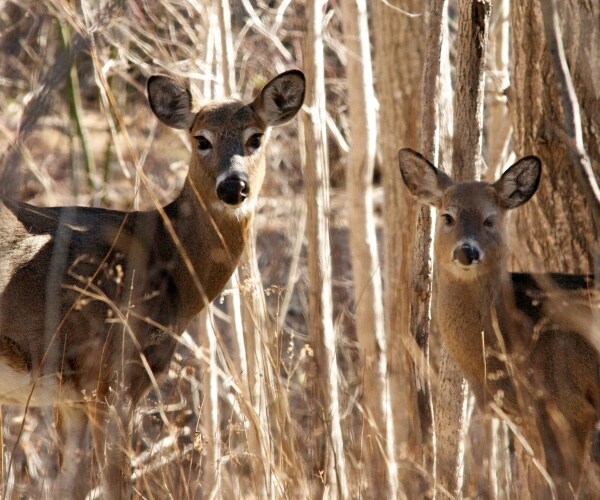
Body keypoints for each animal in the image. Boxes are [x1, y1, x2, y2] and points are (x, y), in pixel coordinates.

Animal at [0, 70, 308, 500]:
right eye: (201, 139)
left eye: (256, 138)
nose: (233, 186)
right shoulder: (113, 375)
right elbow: (116, 483)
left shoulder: (72, 396)